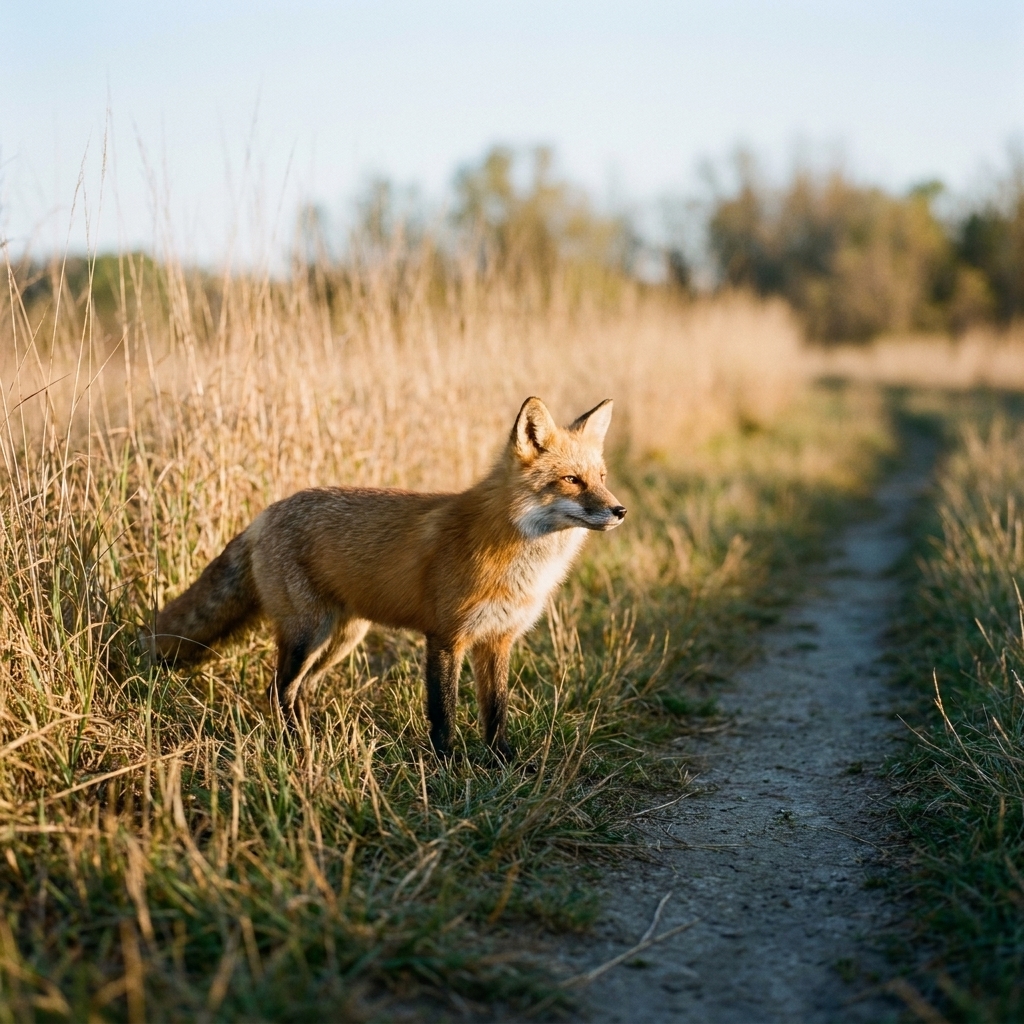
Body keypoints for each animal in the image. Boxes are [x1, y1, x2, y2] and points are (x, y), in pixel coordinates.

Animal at [152, 396, 626, 760]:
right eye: (571, 480)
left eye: (601, 478)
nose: (620, 510)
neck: (517, 556)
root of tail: (264, 514)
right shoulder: (446, 636)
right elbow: (443, 710)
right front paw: (448, 763)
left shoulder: (497, 639)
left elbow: (496, 710)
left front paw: (503, 760)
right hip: (308, 633)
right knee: (278, 691)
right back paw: (295, 747)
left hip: (342, 639)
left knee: (298, 690)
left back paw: (309, 740)